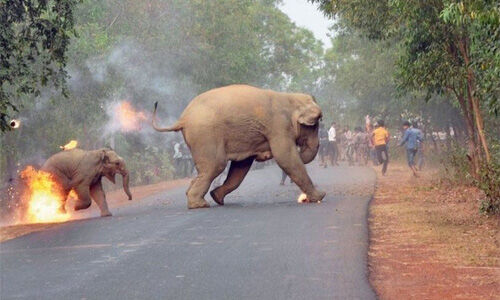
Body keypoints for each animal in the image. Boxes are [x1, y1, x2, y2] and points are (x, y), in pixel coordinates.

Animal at [152, 84, 324, 209]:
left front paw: (217, 196)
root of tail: (183, 118)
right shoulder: (278, 126)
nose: (301, 150)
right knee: (216, 165)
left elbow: (241, 166)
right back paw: (199, 205)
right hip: (205, 135)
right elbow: (285, 157)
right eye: (315, 125)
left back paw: (207, 200)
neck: (290, 97)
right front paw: (320, 197)